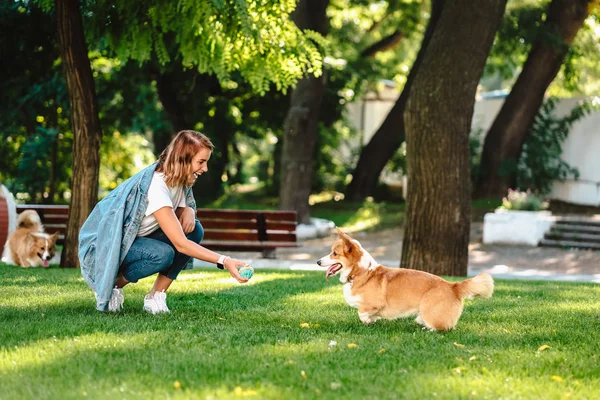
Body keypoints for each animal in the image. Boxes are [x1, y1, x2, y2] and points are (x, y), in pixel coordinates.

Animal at [316, 230, 494, 330]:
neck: (361, 272)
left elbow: (362, 313)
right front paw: (371, 322)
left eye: (334, 254)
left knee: (444, 328)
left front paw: (368, 320)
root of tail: (454, 286)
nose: (317, 261)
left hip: (428, 309)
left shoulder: (372, 304)